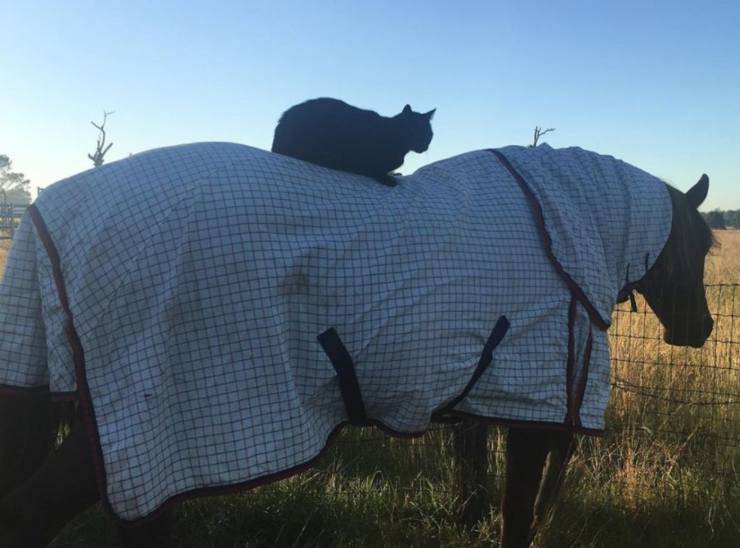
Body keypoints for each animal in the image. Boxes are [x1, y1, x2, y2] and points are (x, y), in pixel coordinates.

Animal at [0, 143, 712, 544]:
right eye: (701, 242)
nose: (702, 330)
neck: (562, 224)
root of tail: (45, 213)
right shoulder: (534, 408)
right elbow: (516, 514)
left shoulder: (486, 391)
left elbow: (476, 480)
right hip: (140, 423)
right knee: (33, 515)